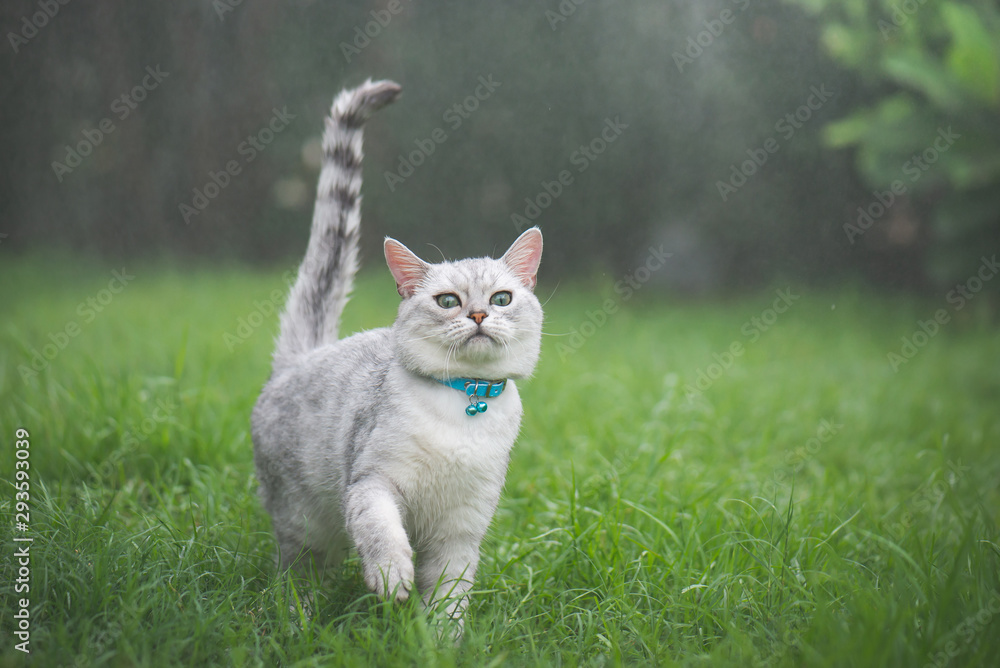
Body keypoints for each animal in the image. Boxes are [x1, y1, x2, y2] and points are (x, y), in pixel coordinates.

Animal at [252, 78, 548, 628]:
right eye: (448, 301)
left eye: (501, 299)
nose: (479, 316)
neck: (462, 406)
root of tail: (302, 358)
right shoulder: (371, 482)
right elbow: (381, 531)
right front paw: (392, 579)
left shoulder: (462, 529)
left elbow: (450, 596)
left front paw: (439, 636)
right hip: (304, 522)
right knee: (300, 571)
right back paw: (299, 615)